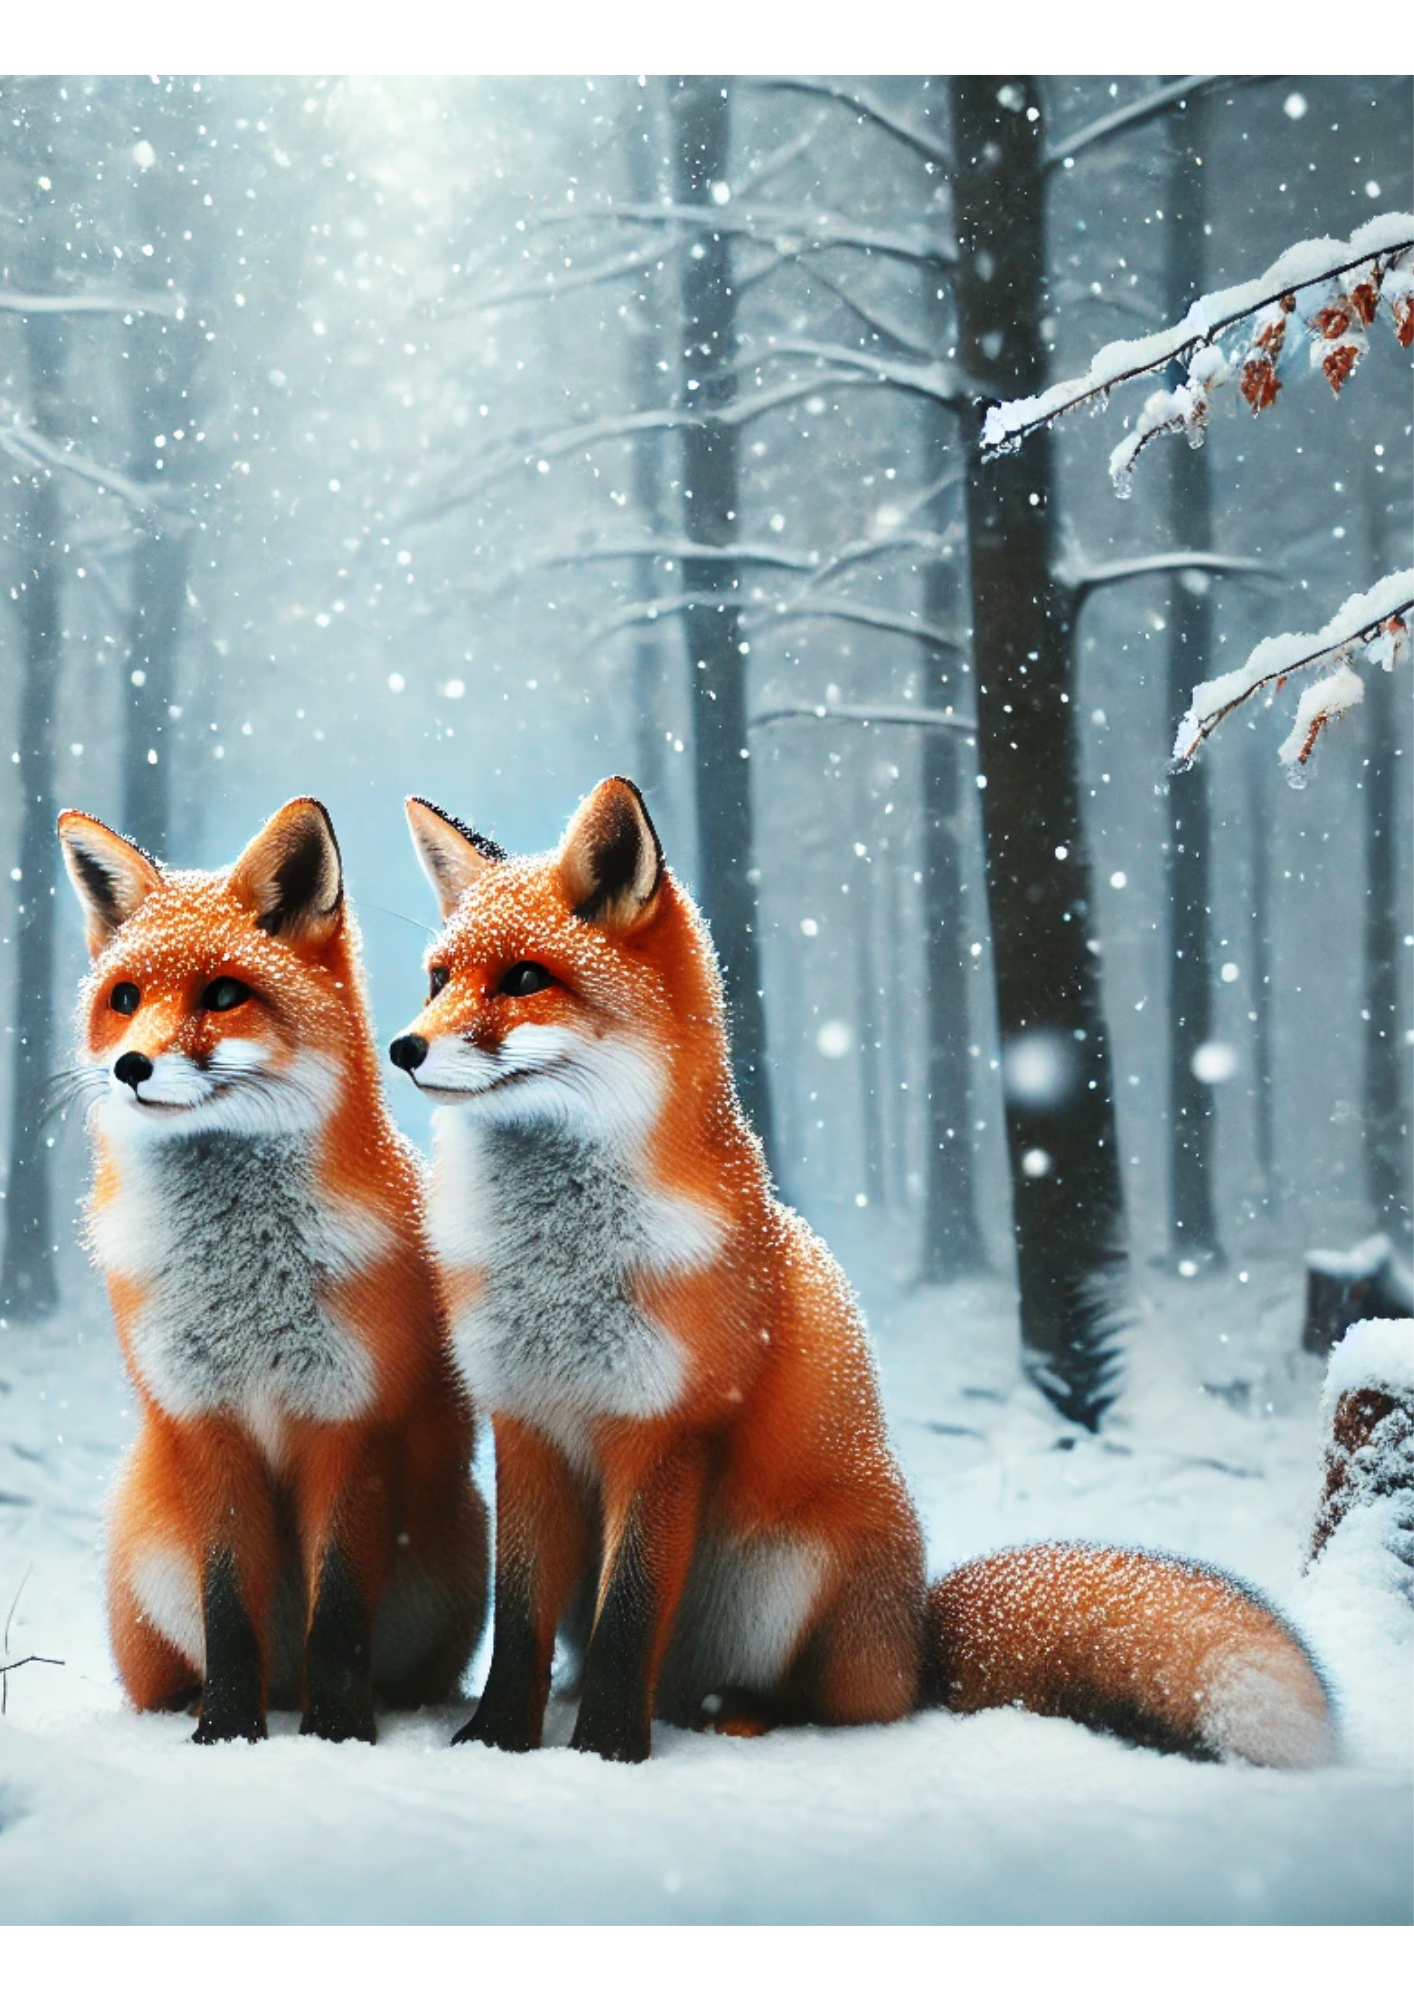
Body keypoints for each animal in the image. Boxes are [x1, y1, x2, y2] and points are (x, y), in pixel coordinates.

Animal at [57, 797, 487, 1744]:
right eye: (124, 999)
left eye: (224, 993)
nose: (130, 1067)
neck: (243, 1280)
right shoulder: (205, 1424)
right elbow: (229, 1615)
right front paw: (225, 1734)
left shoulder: (350, 1424)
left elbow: (338, 1618)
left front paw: (339, 1735)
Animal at [390, 775, 1336, 1769]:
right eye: (439, 980)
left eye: (526, 979)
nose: (404, 1048)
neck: (558, 1265)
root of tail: (917, 1641)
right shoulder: (525, 1424)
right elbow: (518, 1623)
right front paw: (494, 1746)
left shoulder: (667, 1433)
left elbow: (629, 1623)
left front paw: (606, 1755)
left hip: (795, 1571)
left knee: (831, 1709)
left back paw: (739, 1717)